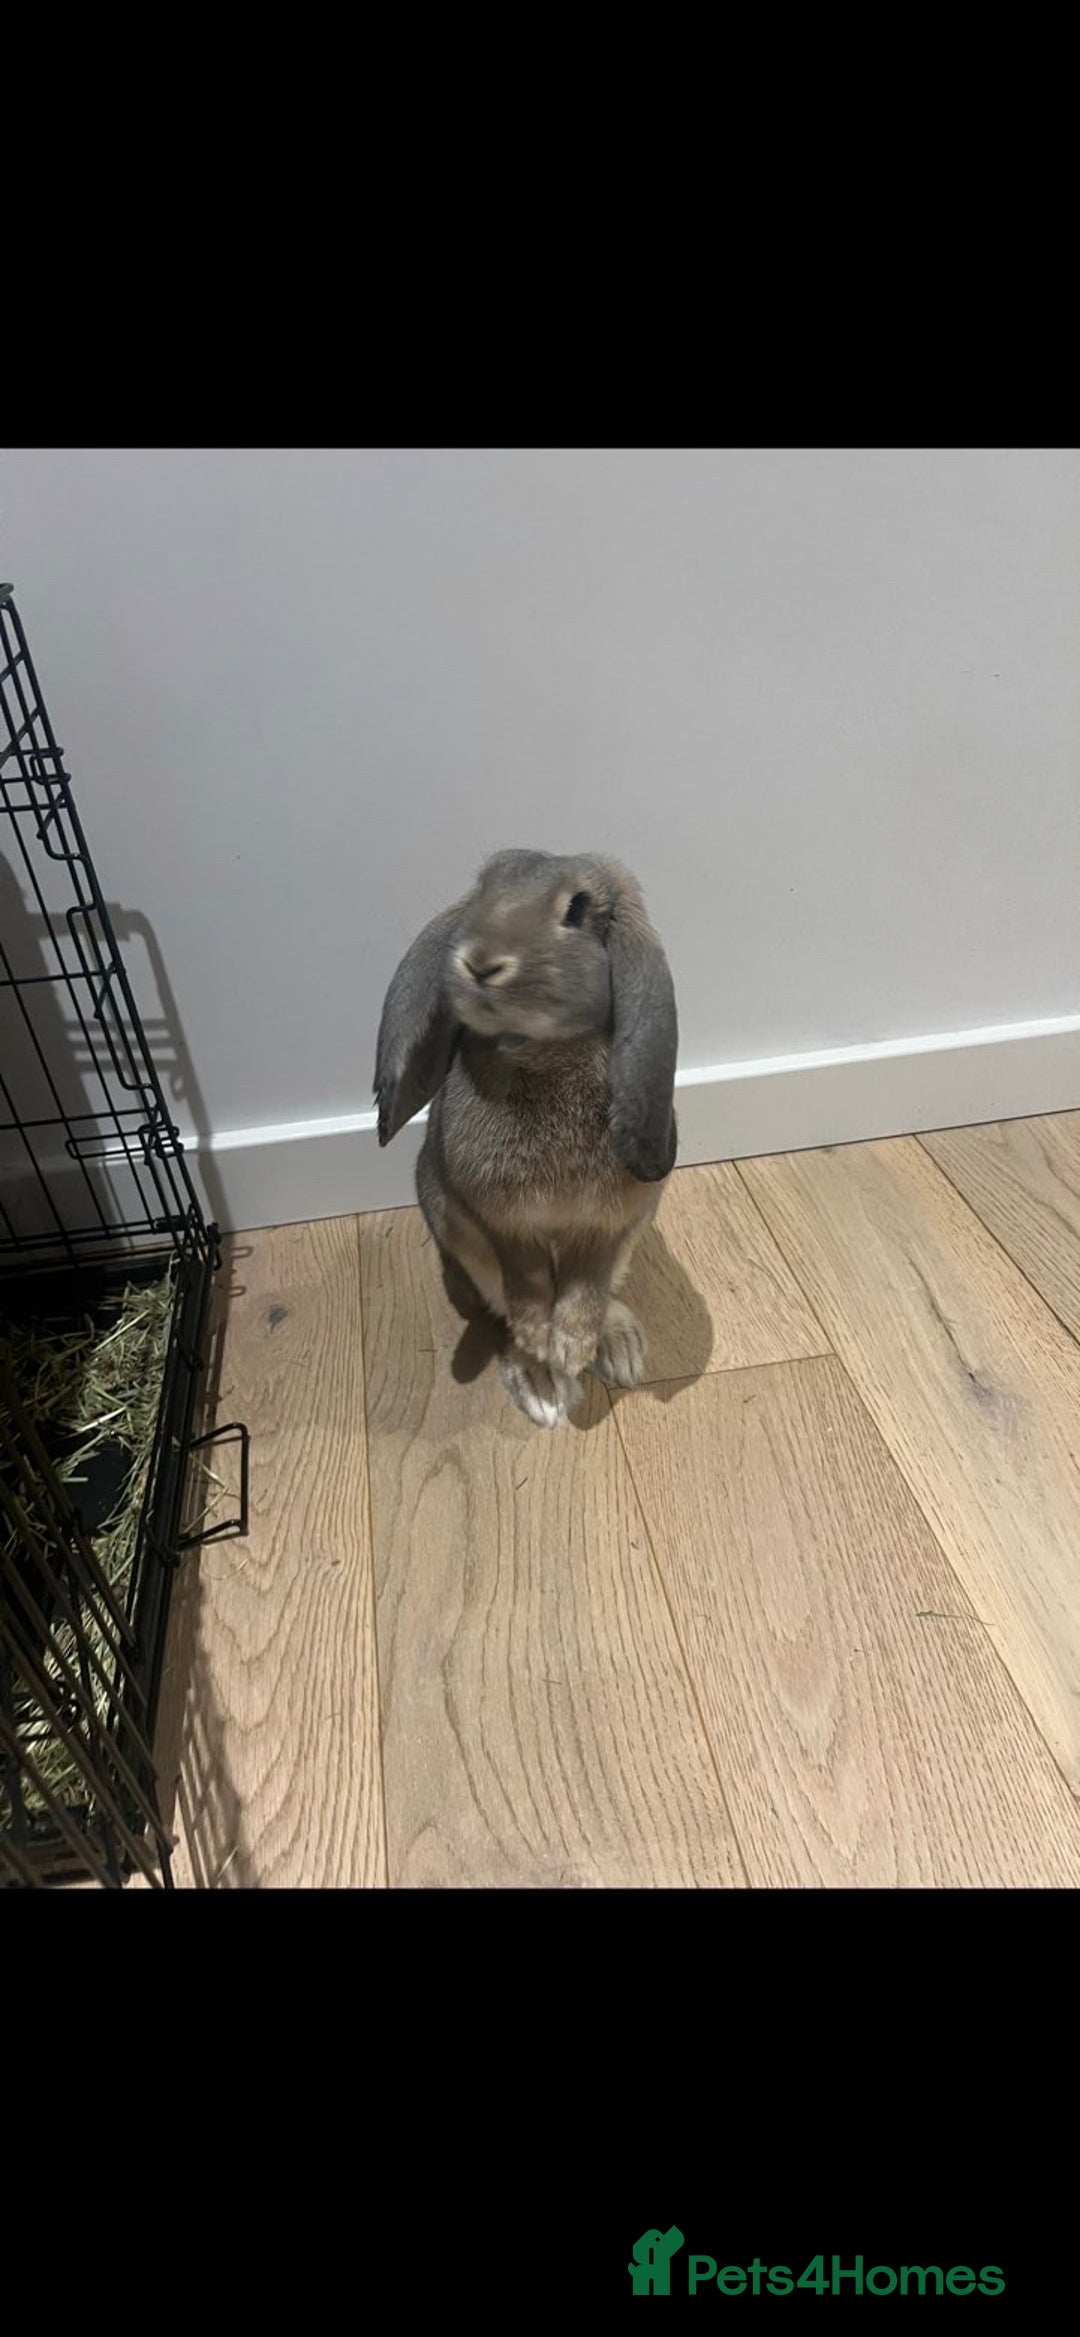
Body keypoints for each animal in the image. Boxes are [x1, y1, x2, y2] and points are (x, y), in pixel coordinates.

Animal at [373, 848, 677, 1426]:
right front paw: (544, 1346)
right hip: (465, 1246)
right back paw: (539, 1379)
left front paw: (574, 1349)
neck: (544, 1051)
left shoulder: (609, 1226)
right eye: (481, 891)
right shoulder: (505, 1227)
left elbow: (585, 1286)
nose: (480, 961)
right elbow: (529, 1285)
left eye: (577, 909)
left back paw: (618, 1349)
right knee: (502, 1309)